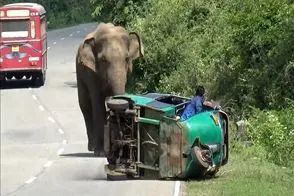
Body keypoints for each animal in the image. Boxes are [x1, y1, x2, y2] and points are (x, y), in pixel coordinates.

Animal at [75, 22, 144, 156]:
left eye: (127, 59)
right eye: (103, 60)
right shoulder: (91, 73)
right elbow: (97, 104)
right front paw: (101, 152)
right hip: (80, 74)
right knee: (86, 106)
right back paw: (92, 148)